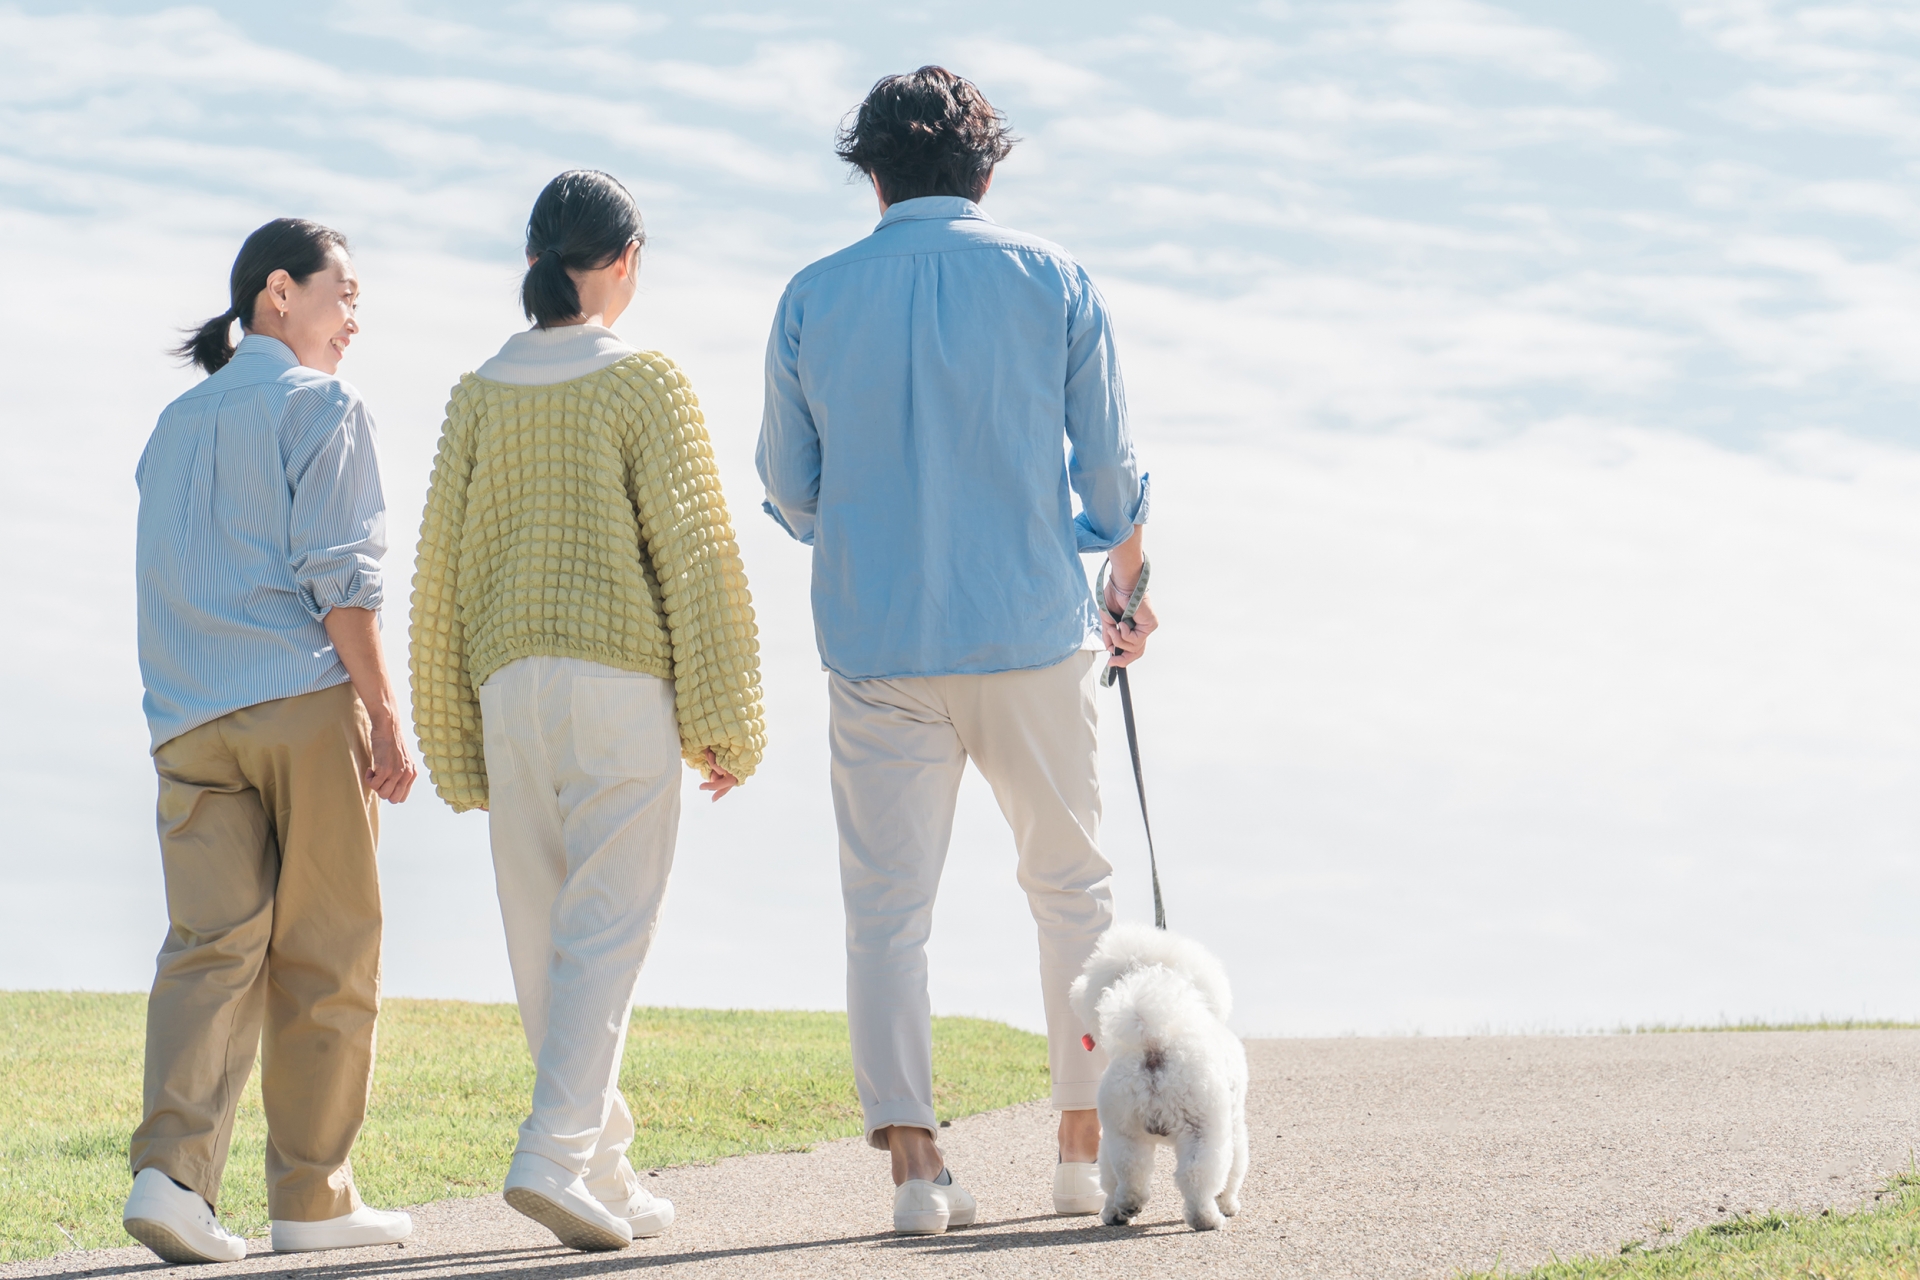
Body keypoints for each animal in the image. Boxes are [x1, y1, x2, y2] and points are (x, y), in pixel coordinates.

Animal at [1067, 924, 1244, 1235]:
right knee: (1196, 1176)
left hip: (1122, 1130)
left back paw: (1122, 1209)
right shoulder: (1234, 1124)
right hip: (1203, 1131)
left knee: (1126, 1173)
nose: (1076, 987)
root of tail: (1153, 1043)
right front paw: (1228, 1204)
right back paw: (1207, 1218)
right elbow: (1234, 1171)